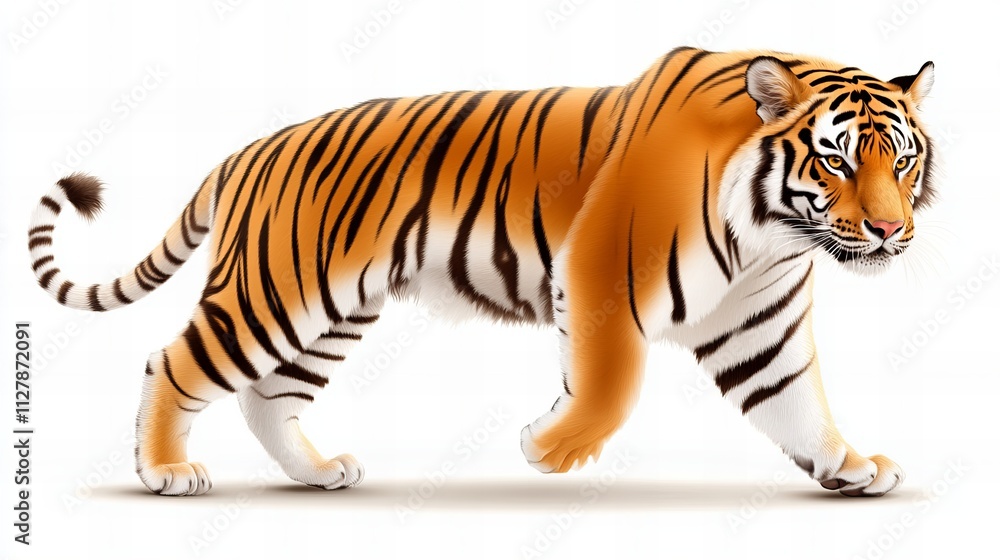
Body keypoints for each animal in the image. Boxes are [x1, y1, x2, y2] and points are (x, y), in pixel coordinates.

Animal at [28, 47, 936, 497]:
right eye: (838, 160)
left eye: (903, 160)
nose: (892, 229)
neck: (770, 233)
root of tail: (245, 150)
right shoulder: (601, 272)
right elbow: (612, 383)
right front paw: (548, 450)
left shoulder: (758, 319)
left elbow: (796, 401)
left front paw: (849, 466)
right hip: (274, 294)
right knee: (173, 362)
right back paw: (164, 473)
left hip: (330, 313)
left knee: (266, 398)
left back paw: (318, 474)